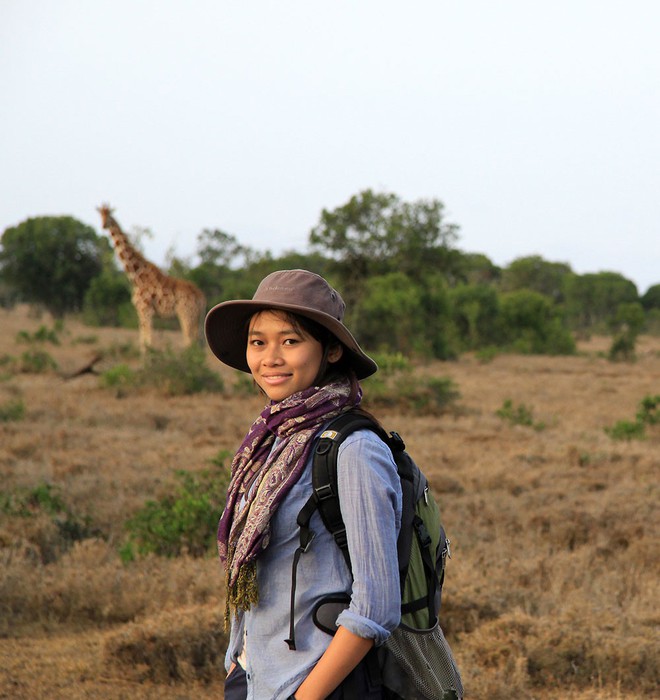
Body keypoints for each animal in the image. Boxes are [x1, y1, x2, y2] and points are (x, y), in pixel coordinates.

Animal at [96, 205, 206, 352]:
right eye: (100, 215)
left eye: (109, 215)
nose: (103, 225)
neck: (136, 277)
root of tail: (202, 297)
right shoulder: (142, 311)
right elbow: (143, 339)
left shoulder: (145, 310)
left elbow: (147, 341)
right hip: (198, 317)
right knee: (200, 343)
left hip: (186, 314)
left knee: (189, 341)